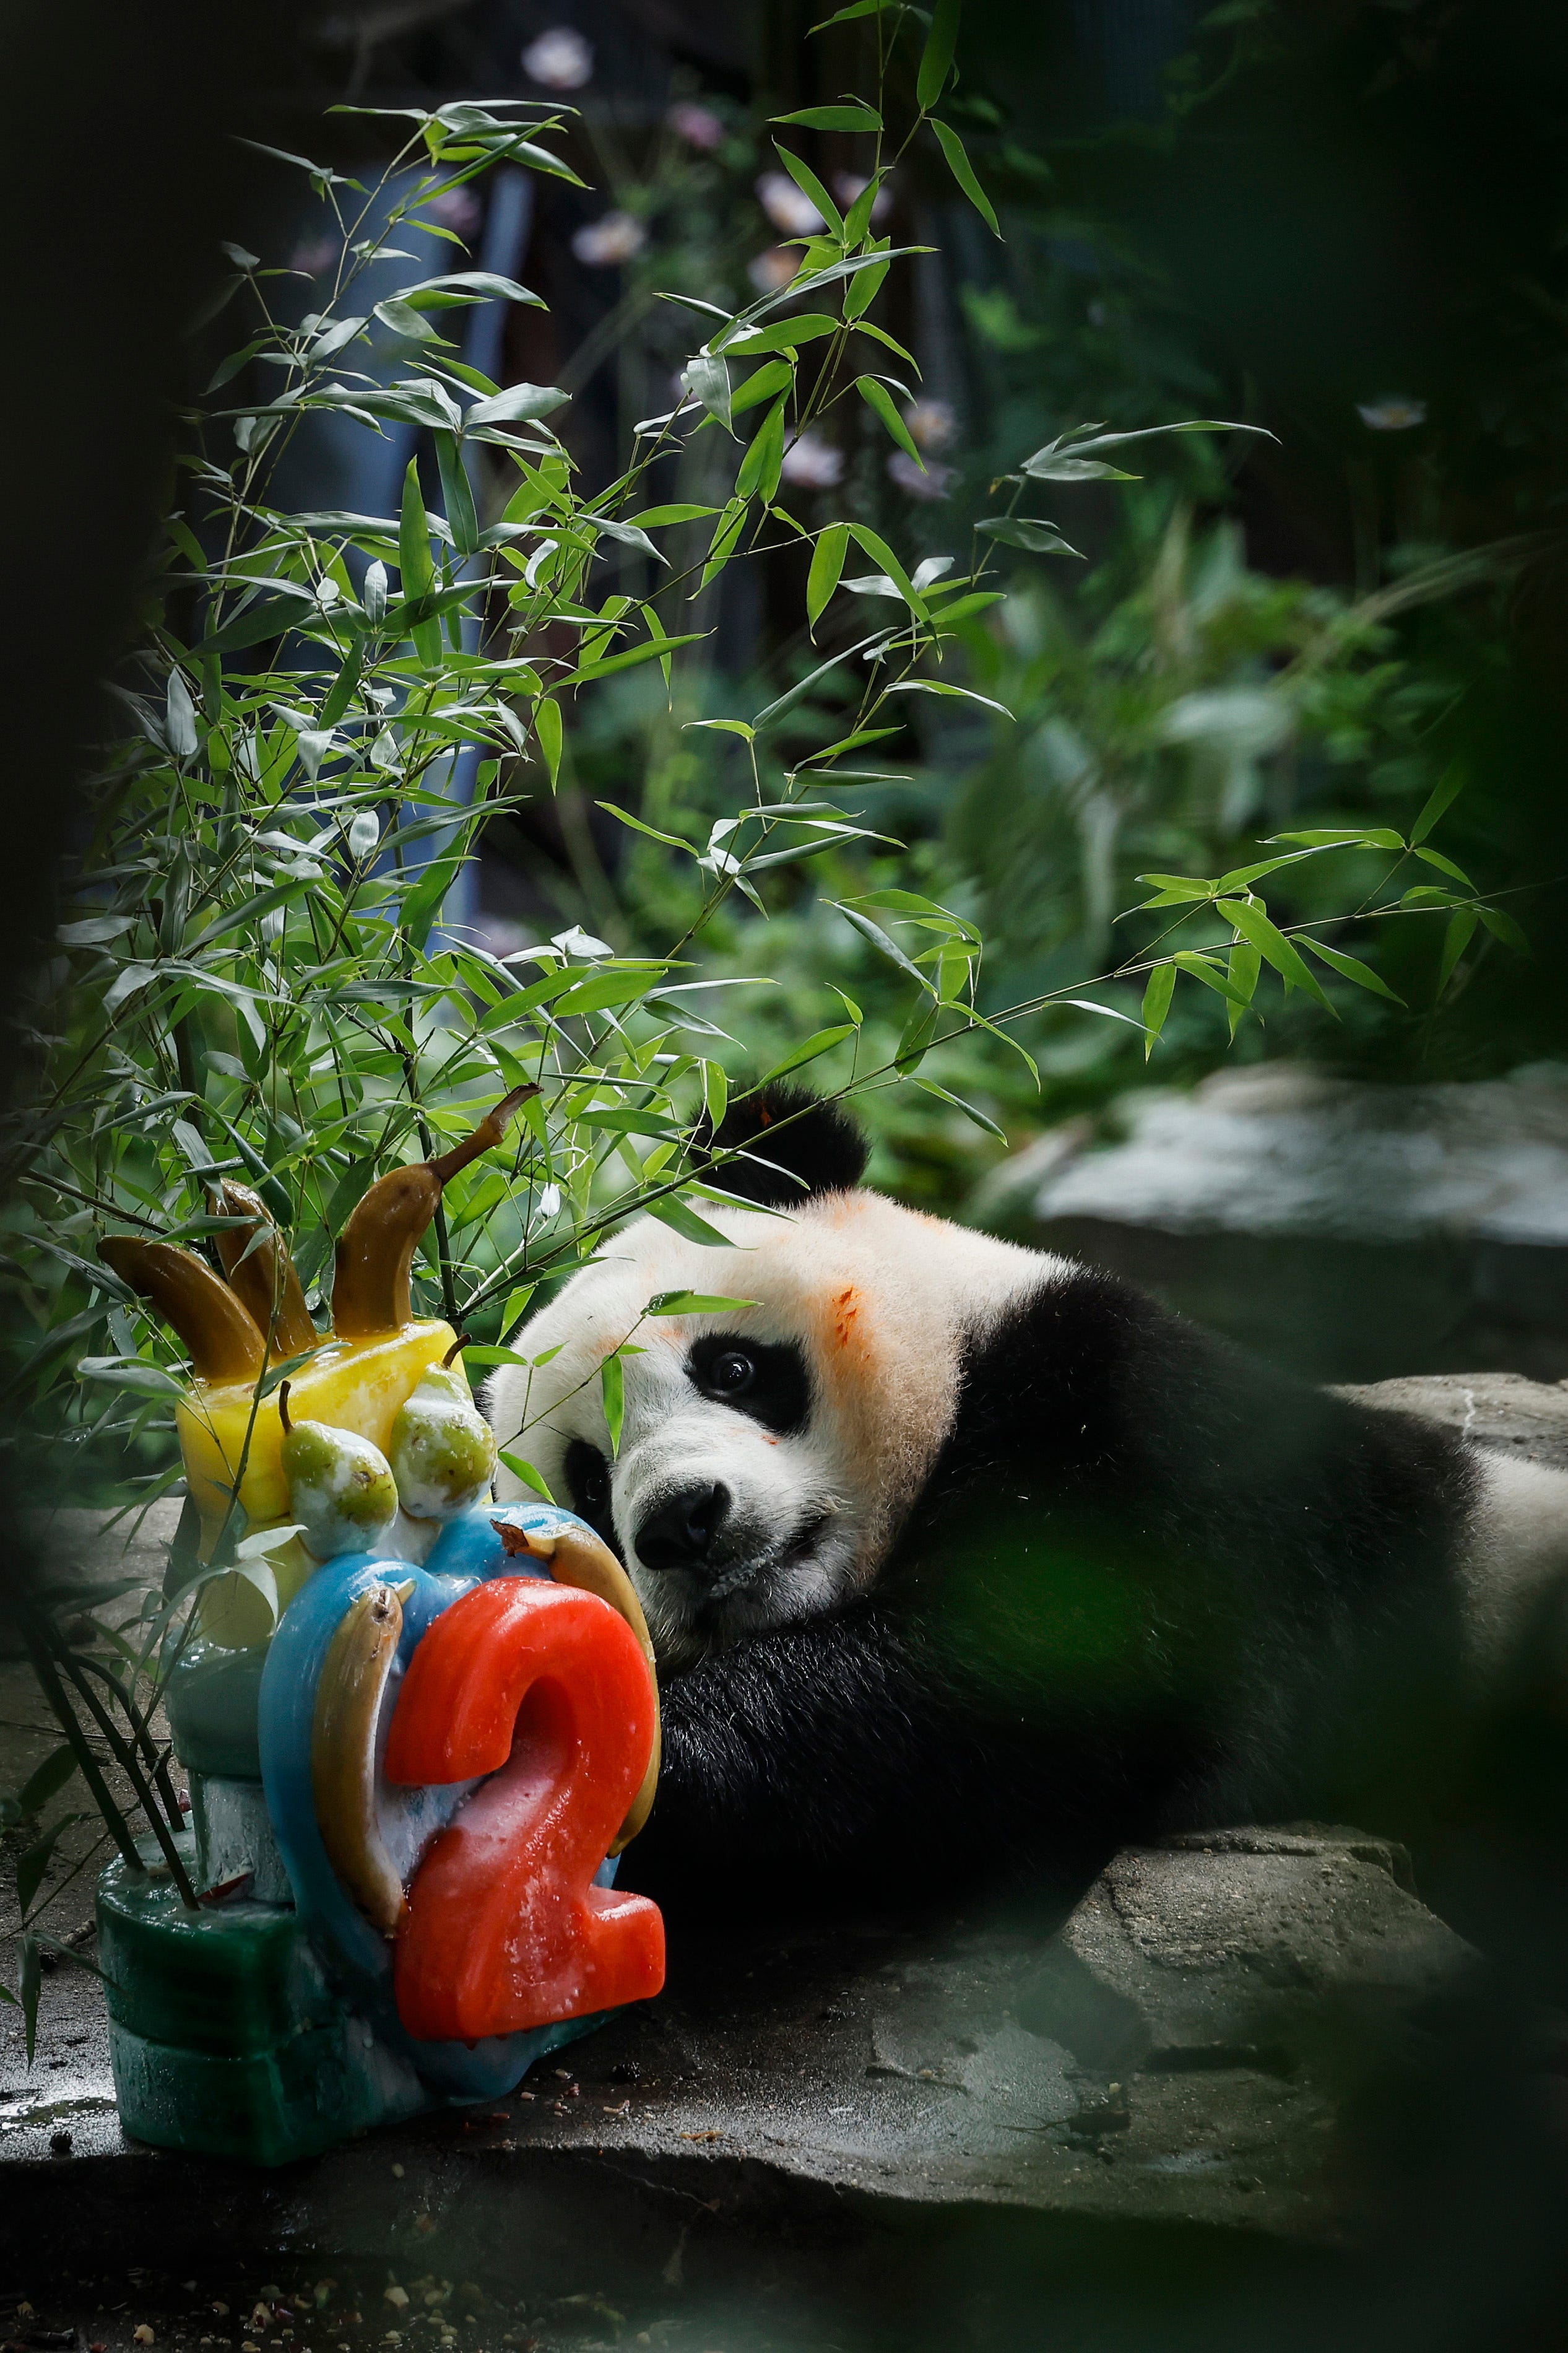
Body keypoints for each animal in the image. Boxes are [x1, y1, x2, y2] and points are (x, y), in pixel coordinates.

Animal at [487, 1082, 1568, 1910]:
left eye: (735, 1368)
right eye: (589, 1483)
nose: (682, 1521)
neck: (973, 1365)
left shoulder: (1143, 1425)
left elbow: (1037, 1676)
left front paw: (640, 1758)